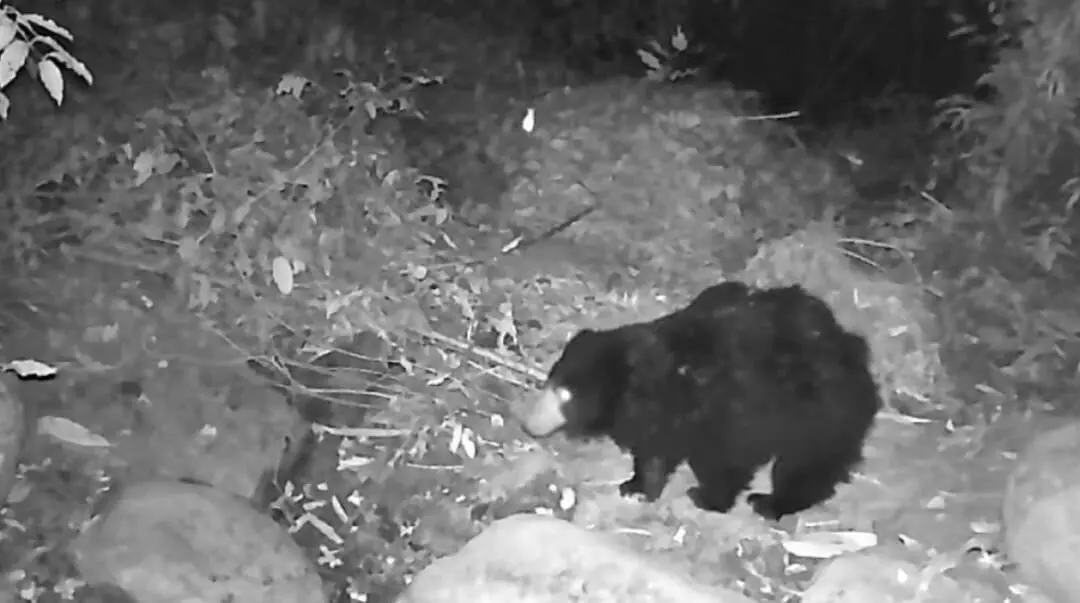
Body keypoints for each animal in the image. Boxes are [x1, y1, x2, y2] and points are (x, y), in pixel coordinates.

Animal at [520, 281, 881, 520]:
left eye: (566, 395)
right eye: (550, 382)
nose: (529, 425)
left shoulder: (728, 411)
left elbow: (724, 459)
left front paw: (707, 498)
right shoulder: (664, 416)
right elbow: (654, 451)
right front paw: (636, 487)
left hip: (818, 412)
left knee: (805, 463)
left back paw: (770, 503)